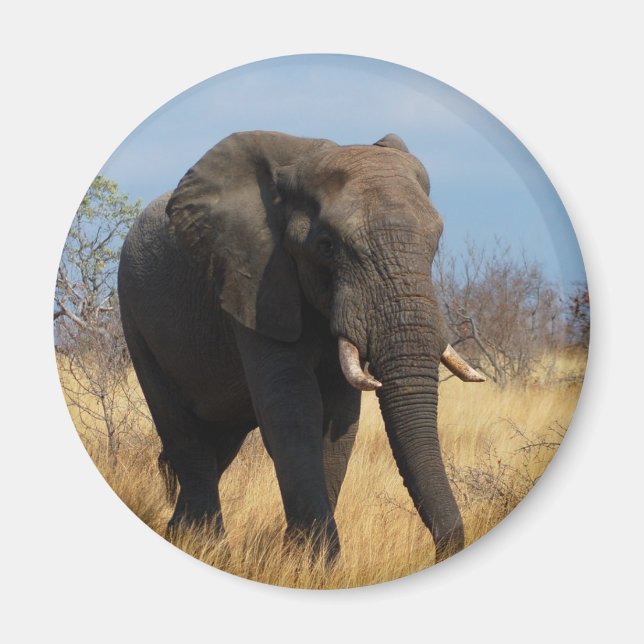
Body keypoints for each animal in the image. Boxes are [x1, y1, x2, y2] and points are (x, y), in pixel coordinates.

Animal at [117, 130, 484, 563]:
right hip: (134, 315)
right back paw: (207, 545)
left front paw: (301, 561)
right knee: (184, 433)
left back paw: (181, 534)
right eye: (326, 246)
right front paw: (317, 563)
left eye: (435, 243)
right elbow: (293, 409)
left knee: (219, 442)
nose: (441, 548)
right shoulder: (254, 279)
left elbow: (339, 419)